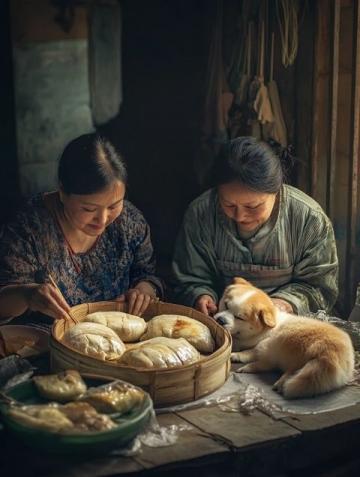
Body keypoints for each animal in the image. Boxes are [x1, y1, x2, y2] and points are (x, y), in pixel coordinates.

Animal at [214, 276, 354, 398]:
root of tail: (333, 352)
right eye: (225, 305)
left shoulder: (262, 343)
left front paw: (237, 354)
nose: (220, 320)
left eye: (239, 317)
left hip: (282, 347)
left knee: (269, 365)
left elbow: (250, 351)